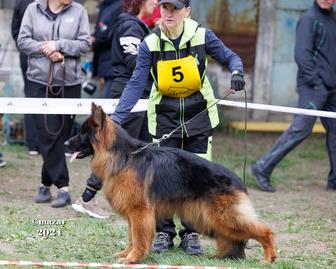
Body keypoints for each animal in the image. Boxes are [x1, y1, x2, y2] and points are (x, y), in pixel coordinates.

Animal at [64, 103, 276, 264]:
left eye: (83, 133)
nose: (65, 143)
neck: (124, 156)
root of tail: (237, 180)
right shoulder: (134, 214)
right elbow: (132, 236)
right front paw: (126, 254)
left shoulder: (140, 212)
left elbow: (138, 237)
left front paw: (133, 258)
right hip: (216, 220)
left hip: (223, 217)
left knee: (265, 231)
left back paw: (269, 258)